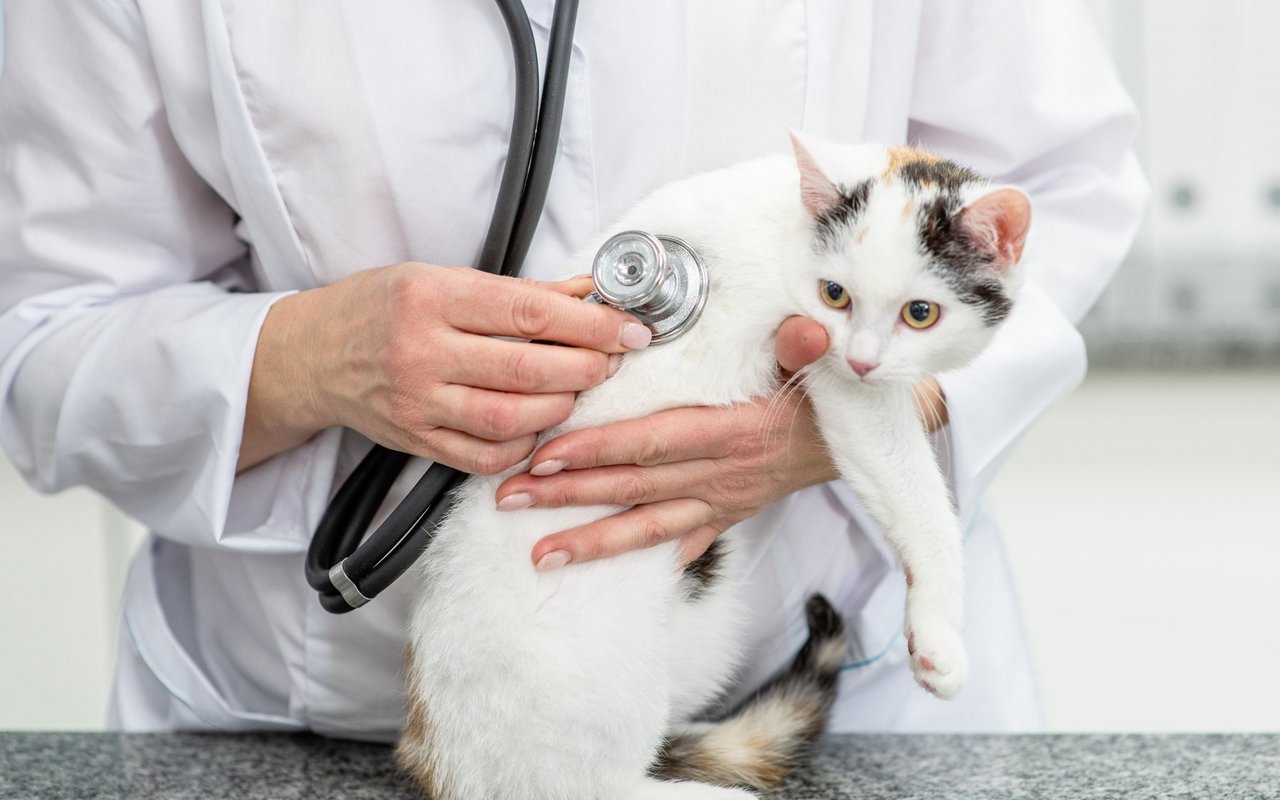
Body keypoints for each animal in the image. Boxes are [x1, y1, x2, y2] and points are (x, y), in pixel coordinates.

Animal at [394, 134, 1034, 793]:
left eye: (920, 313)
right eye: (835, 295)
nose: (862, 359)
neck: (790, 216)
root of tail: (439, 757)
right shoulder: (835, 372)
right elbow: (915, 495)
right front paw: (939, 636)